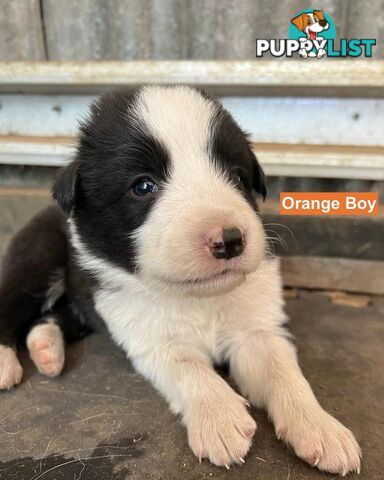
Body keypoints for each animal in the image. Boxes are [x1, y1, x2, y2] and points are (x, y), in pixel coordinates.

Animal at [0, 85, 360, 472]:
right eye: (143, 186)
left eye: (237, 177)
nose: (229, 240)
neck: (199, 298)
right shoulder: (149, 337)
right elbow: (190, 368)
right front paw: (220, 421)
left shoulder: (257, 330)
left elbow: (284, 373)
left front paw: (321, 428)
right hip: (36, 257)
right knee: (12, 307)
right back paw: (7, 363)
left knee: (52, 317)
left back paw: (47, 350)